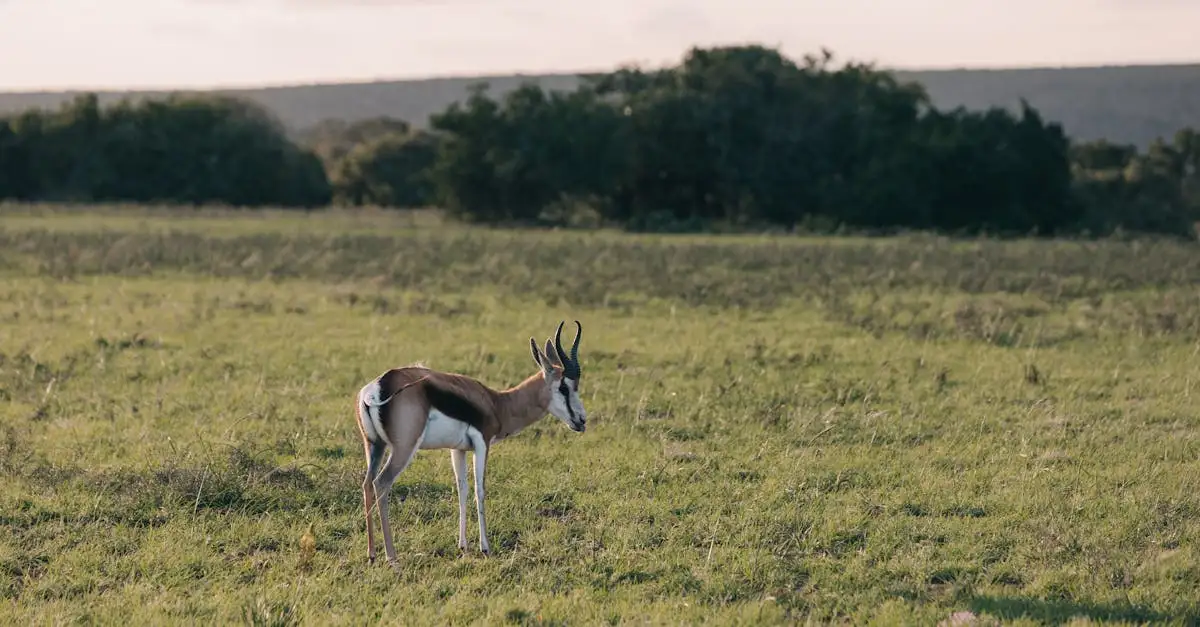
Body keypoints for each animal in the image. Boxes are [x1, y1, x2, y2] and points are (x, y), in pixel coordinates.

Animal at [355, 320, 587, 564]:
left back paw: (371, 554)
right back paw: (392, 557)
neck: (497, 403)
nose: (582, 420)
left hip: (375, 446)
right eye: (564, 387)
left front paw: (463, 545)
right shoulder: (482, 444)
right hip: (403, 449)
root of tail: (377, 387)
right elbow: (480, 490)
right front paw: (485, 547)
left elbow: (462, 489)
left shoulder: (458, 450)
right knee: (381, 483)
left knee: (367, 483)